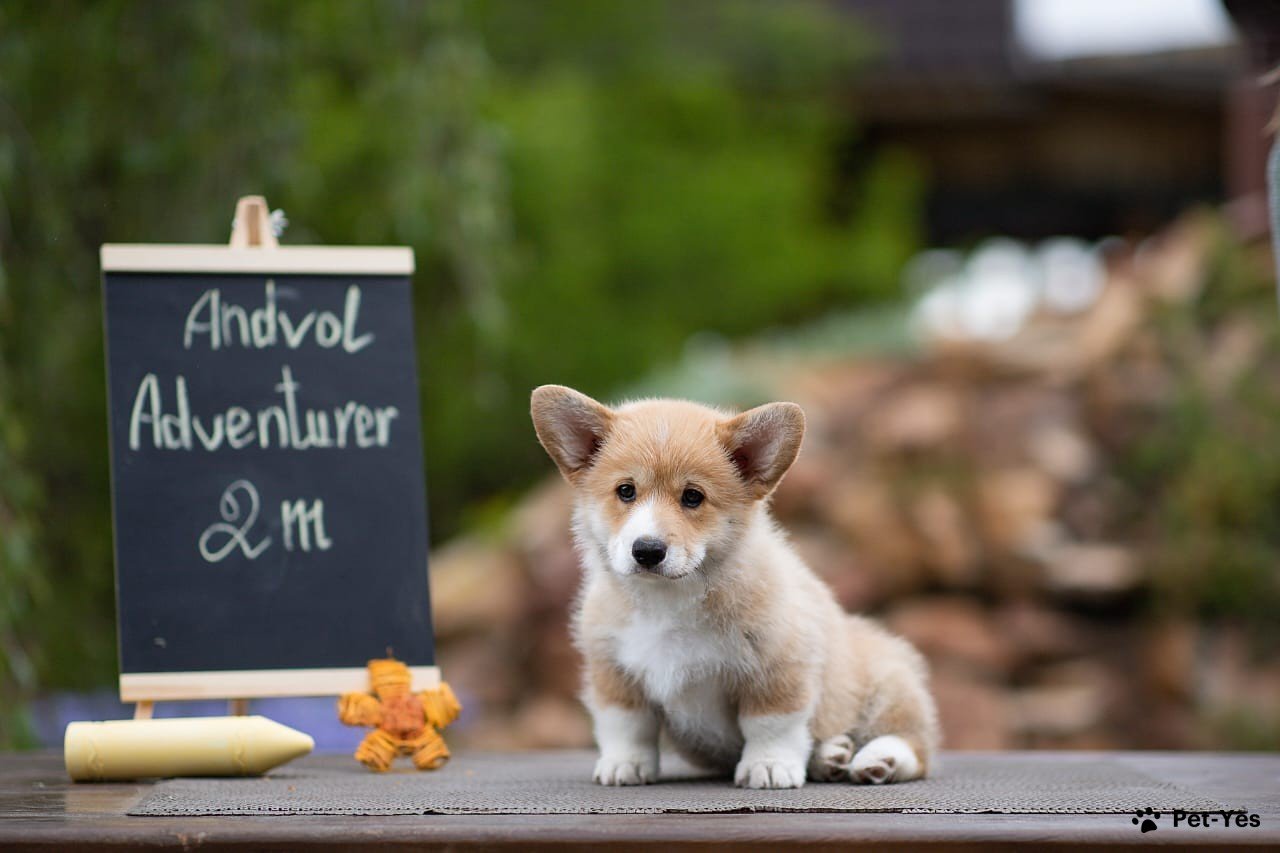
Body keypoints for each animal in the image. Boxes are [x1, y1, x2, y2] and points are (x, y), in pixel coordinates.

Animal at [529, 384, 942, 783]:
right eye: (626, 491)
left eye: (692, 497)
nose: (647, 551)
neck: (669, 600)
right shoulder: (613, 671)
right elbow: (627, 725)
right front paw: (624, 764)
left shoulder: (777, 667)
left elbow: (770, 724)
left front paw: (769, 766)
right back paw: (829, 757)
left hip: (889, 681)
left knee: (912, 741)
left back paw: (880, 759)